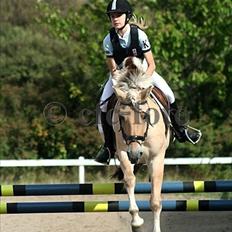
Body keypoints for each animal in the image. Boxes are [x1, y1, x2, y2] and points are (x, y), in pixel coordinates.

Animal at [111, 56, 169, 232]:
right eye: (122, 117)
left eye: (144, 116)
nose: (135, 153)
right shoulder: (123, 152)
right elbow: (129, 180)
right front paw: (136, 221)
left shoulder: (156, 158)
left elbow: (155, 201)